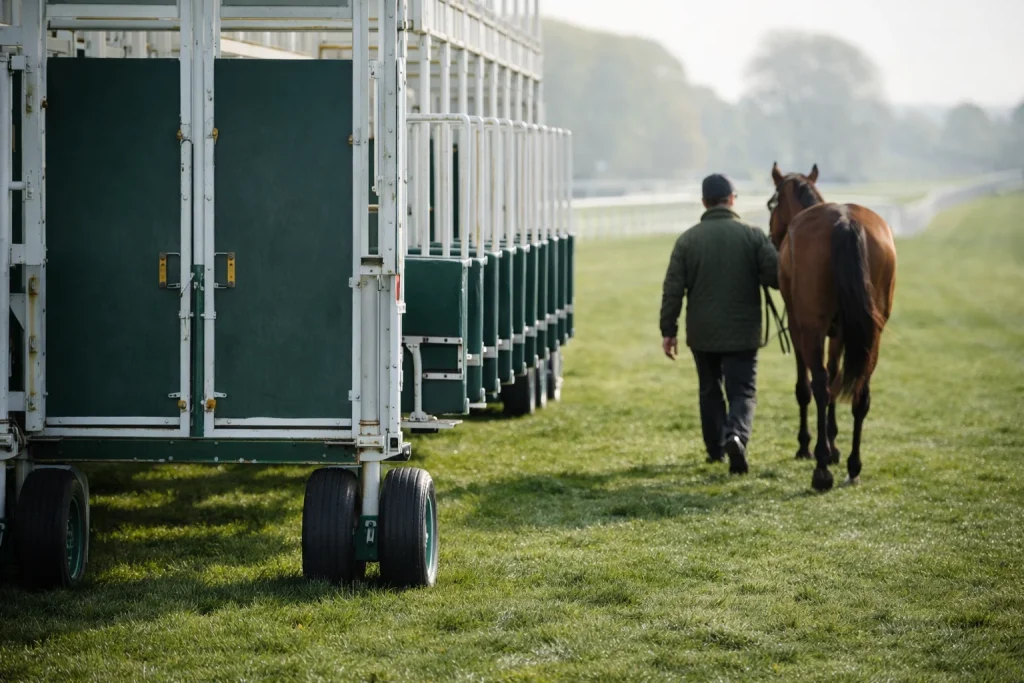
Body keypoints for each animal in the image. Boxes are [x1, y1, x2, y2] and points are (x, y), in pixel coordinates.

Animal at [766, 163, 897, 492]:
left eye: (771, 204)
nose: (772, 236)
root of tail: (845, 221)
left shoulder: (799, 328)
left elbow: (807, 386)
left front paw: (808, 446)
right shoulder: (840, 333)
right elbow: (837, 377)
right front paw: (835, 445)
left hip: (812, 330)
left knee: (820, 386)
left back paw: (821, 469)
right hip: (872, 334)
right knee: (859, 391)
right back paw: (853, 465)